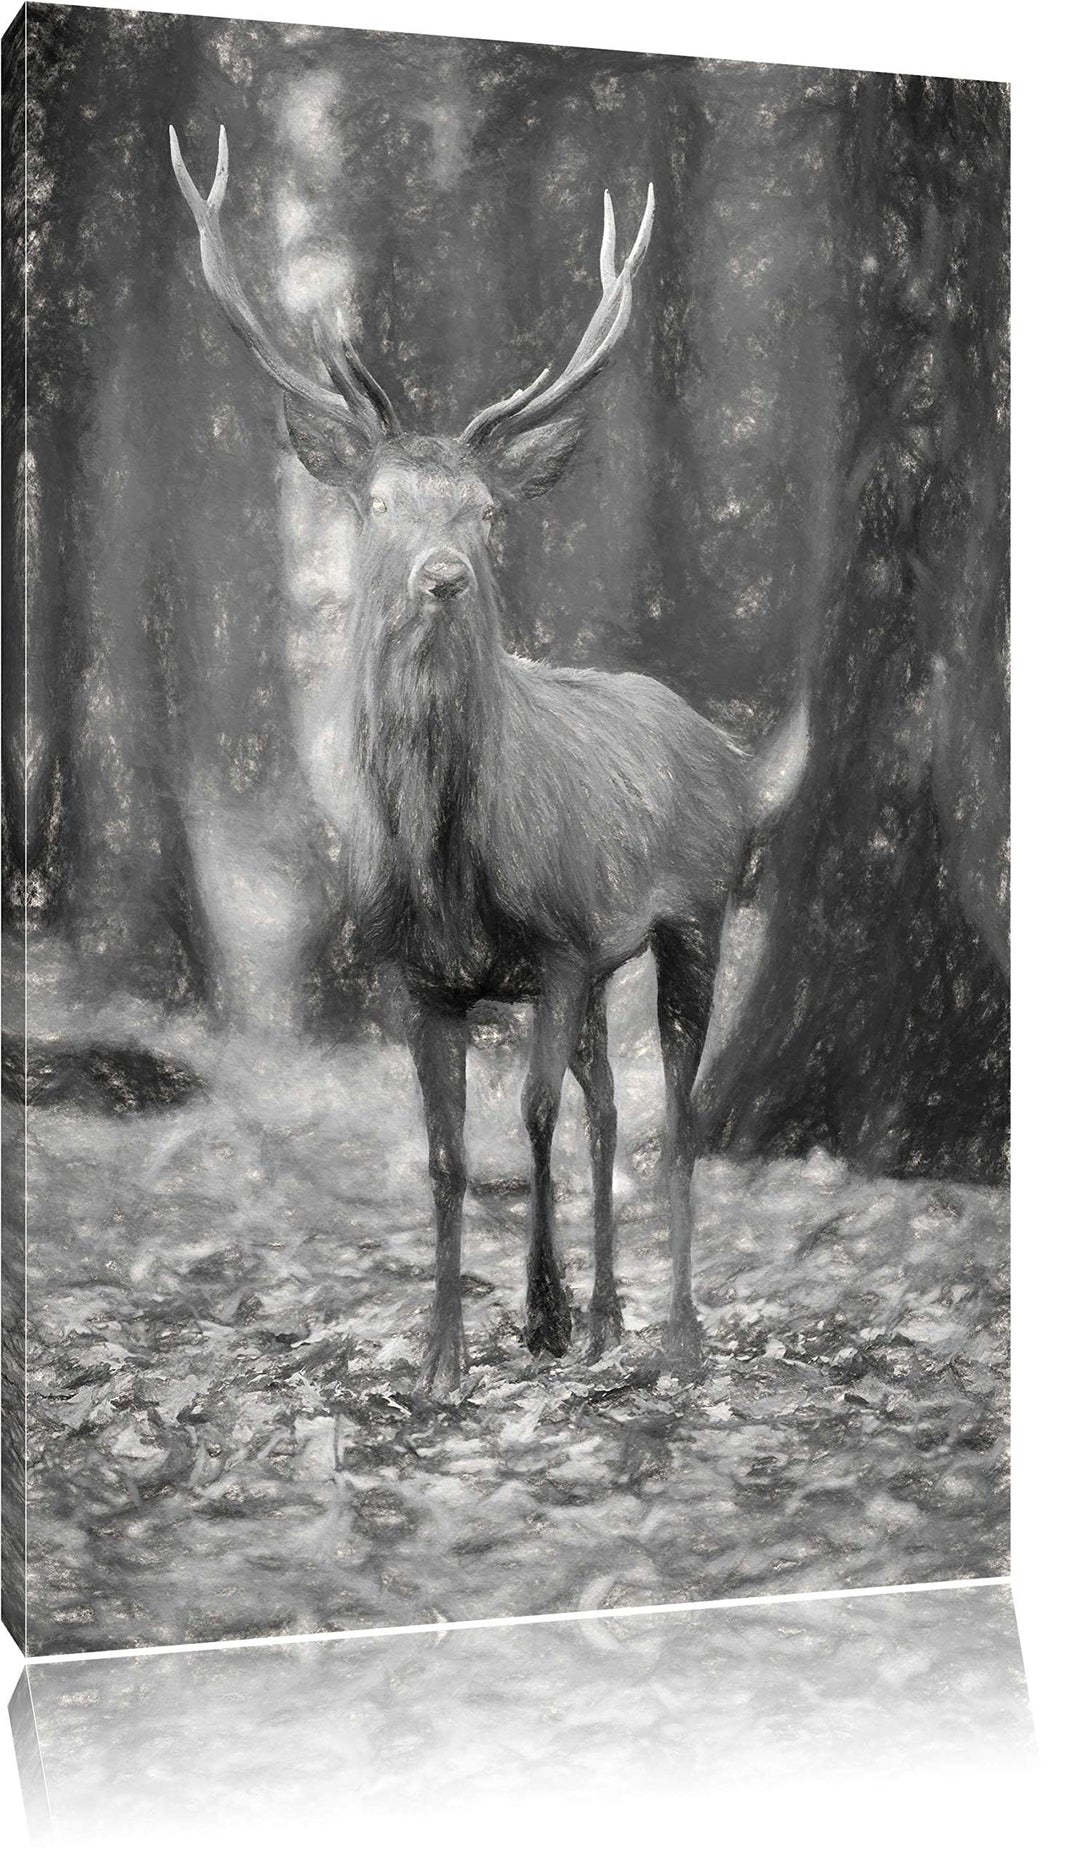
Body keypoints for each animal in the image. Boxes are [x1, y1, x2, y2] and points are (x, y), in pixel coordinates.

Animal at [170, 126, 807, 1394]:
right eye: (374, 503)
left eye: (487, 511)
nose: (442, 576)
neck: (447, 865)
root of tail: (724, 743)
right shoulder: (421, 978)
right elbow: (447, 1153)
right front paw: (443, 1356)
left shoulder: (556, 950)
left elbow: (533, 1122)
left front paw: (542, 1316)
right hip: (614, 958)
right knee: (613, 1107)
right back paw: (616, 1317)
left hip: (698, 911)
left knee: (676, 1114)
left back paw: (674, 1330)